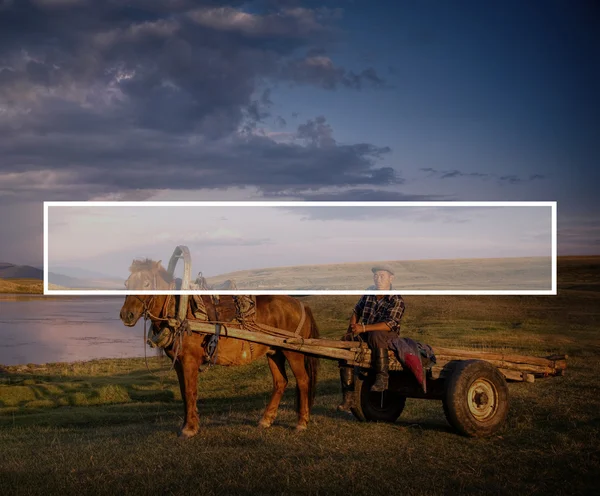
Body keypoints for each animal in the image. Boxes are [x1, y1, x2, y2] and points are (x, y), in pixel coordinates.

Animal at [119, 260, 322, 438]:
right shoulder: (178, 363)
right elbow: (184, 393)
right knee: (280, 382)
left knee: (303, 381)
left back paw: (301, 423)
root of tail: (301, 304)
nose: (126, 315)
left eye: (146, 283)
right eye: (127, 283)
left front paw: (189, 428)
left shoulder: (189, 361)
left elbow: (190, 392)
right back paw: (266, 419)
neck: (181, 313)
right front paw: (188, 424)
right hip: (275, 352)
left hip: (293, 353)